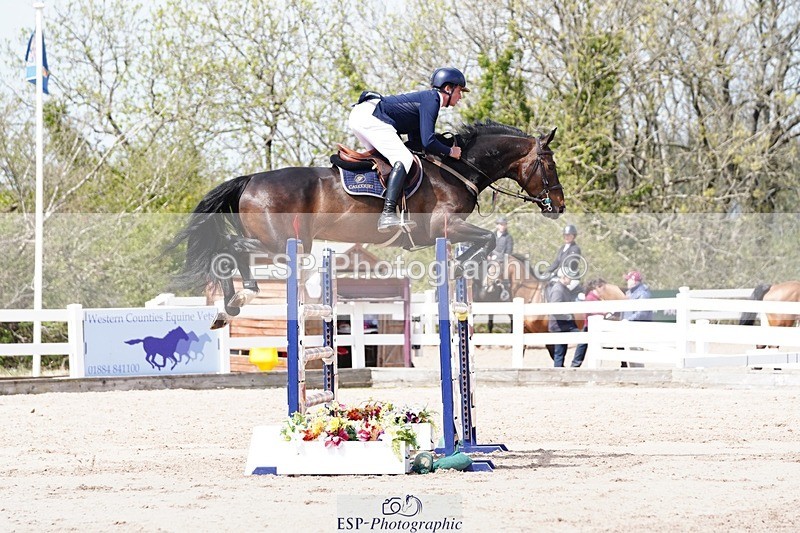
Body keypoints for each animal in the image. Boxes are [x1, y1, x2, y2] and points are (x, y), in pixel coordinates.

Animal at [171, 122, 566, 328]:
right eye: (549, 165)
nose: (559, 206)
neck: (457, 168)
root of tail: (251, 179)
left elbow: (482, 244)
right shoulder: (446, 227)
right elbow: (486, 241)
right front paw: (461, 270)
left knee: (230, 250)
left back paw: (227, 308)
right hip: (282, 243)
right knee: (232, 249)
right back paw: (239, 297)